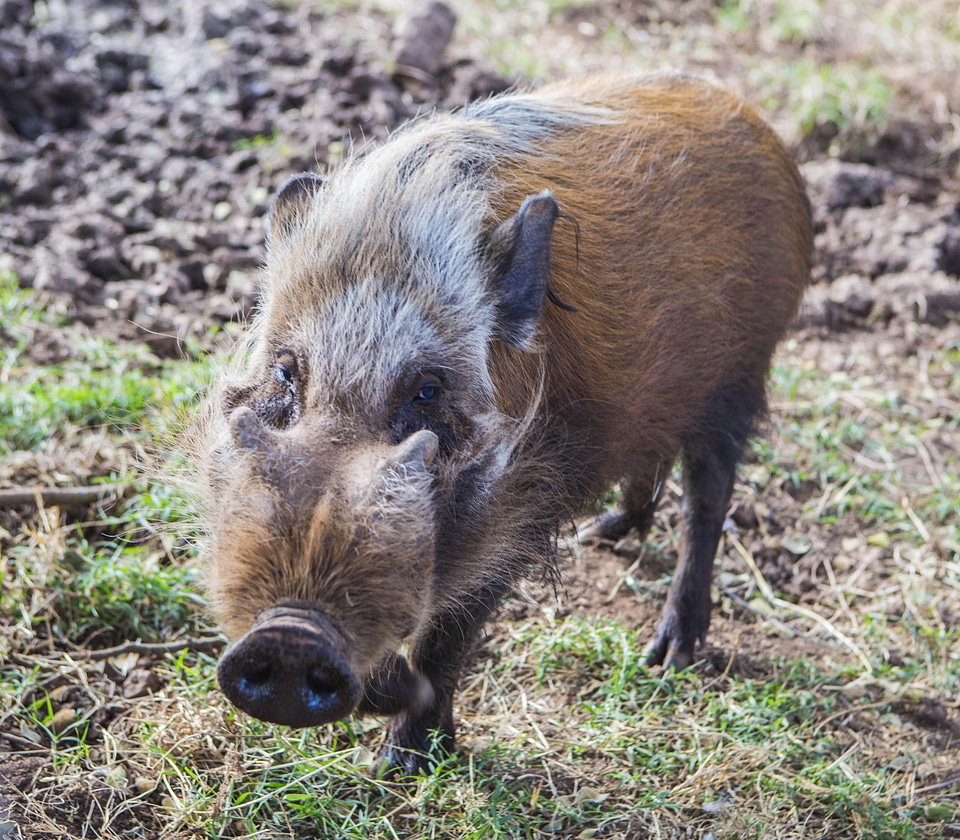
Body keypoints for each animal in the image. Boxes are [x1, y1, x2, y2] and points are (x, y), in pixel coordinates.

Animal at [195, 72, 808, 776]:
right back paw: (601, 534)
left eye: (428, 389)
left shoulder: (520, 509)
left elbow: (450, 630)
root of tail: (756, 124)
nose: (292, 636)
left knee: (708, 500)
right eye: (287, 373)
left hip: (740, 378)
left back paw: (670, 655)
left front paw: (398, 764)